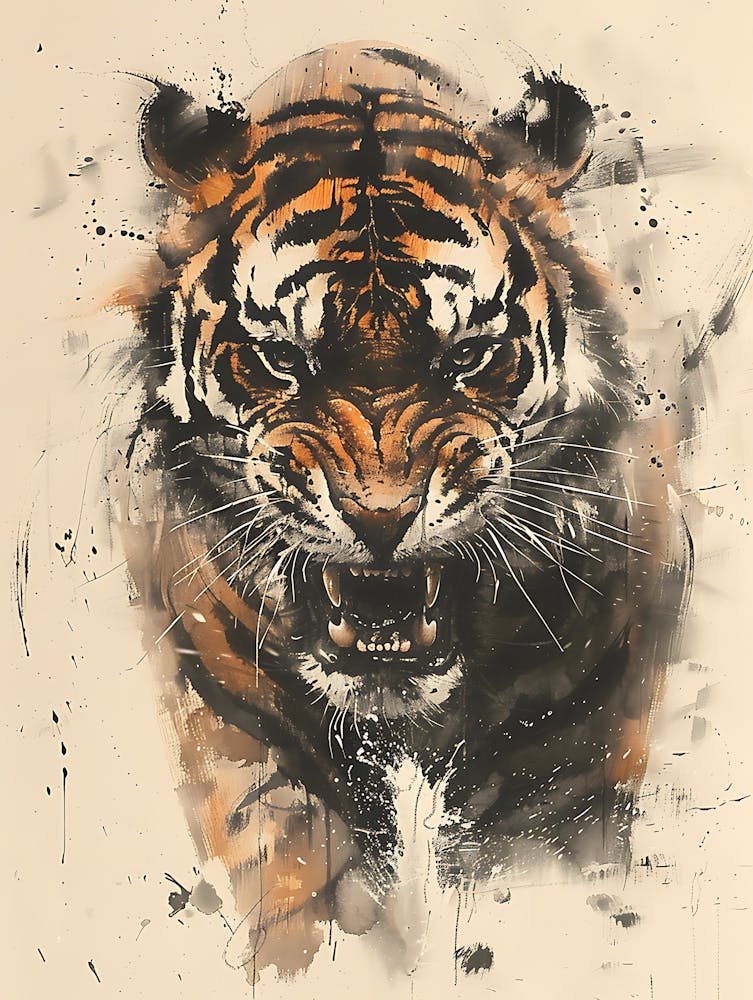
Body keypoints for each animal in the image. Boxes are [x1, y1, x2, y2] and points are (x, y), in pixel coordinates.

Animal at [117, 42, 690, 972]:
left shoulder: (570, 759)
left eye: (468, 357)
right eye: (282, 359)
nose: (381, 519)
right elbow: (299, 897)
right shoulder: (240, 732)